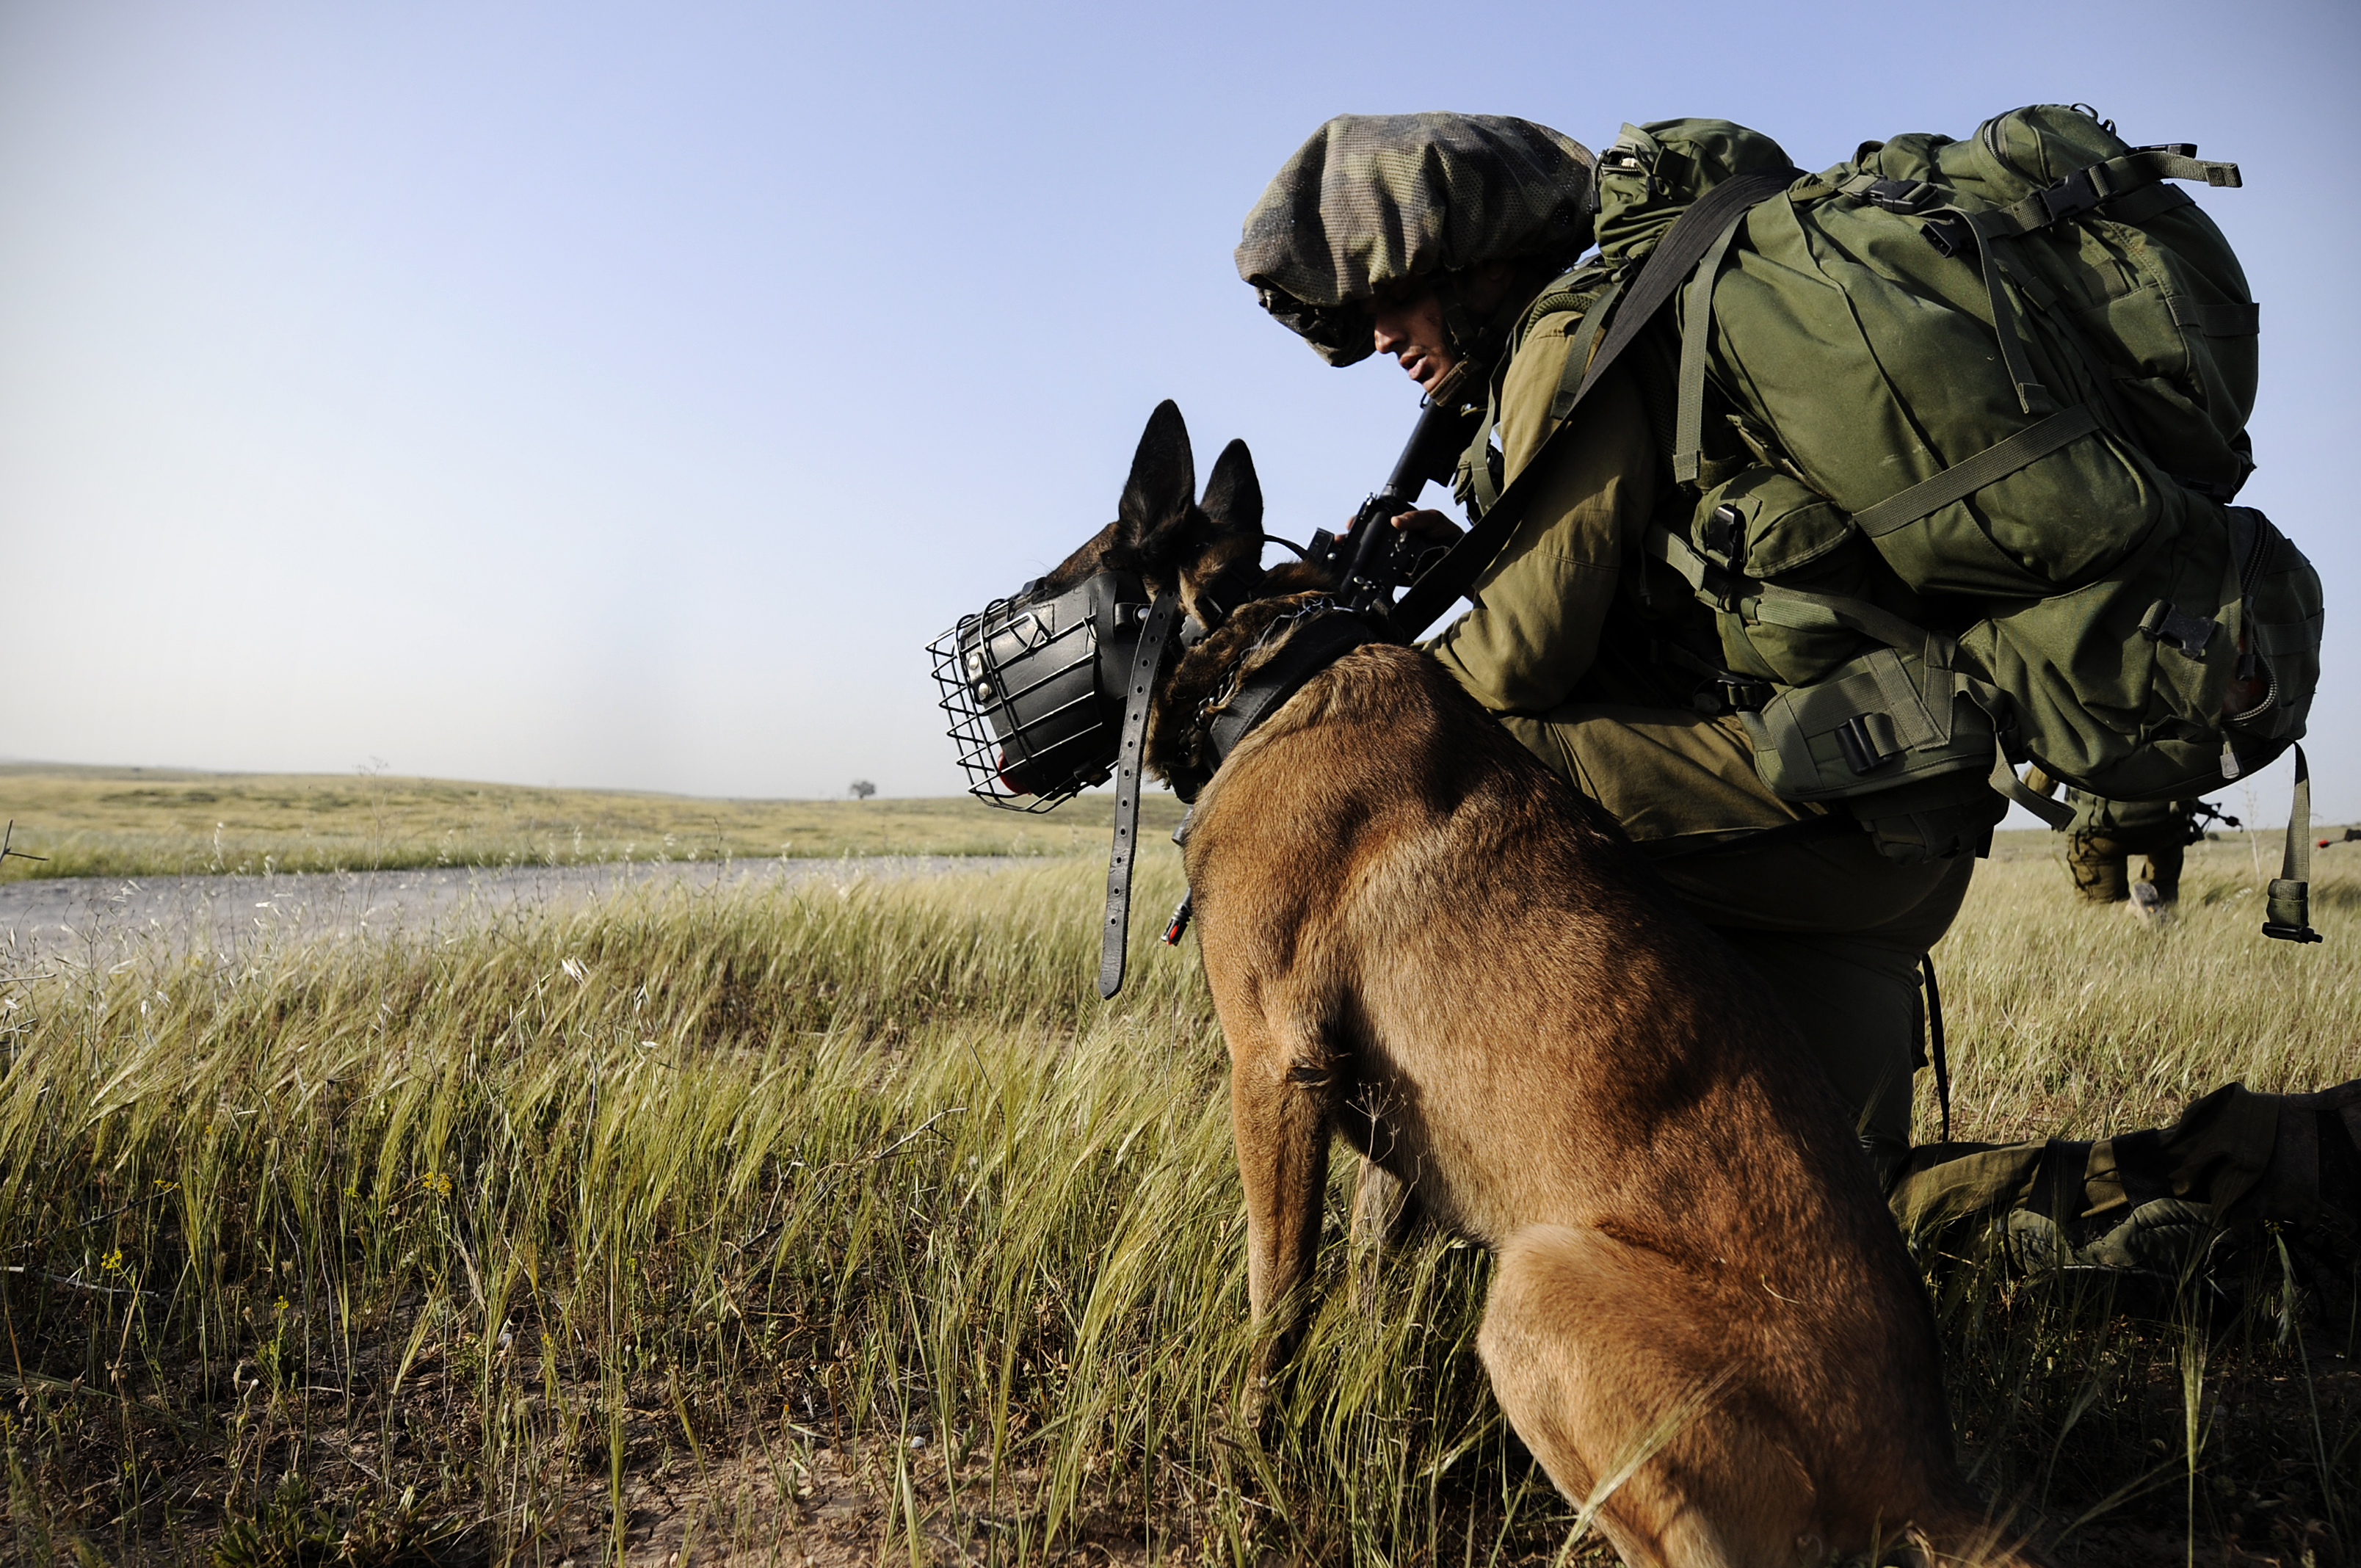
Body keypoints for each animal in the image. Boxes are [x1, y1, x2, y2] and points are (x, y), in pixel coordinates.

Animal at [1039, 406, 2049, 1568]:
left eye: (1054, 588)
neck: (1268, 661)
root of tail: (1923, 1474)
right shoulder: (1379, 1121)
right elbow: (1366, 1282)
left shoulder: (1275, 1069)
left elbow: (1275, 1297)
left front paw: (1251, 1454)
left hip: (1536, 1286)